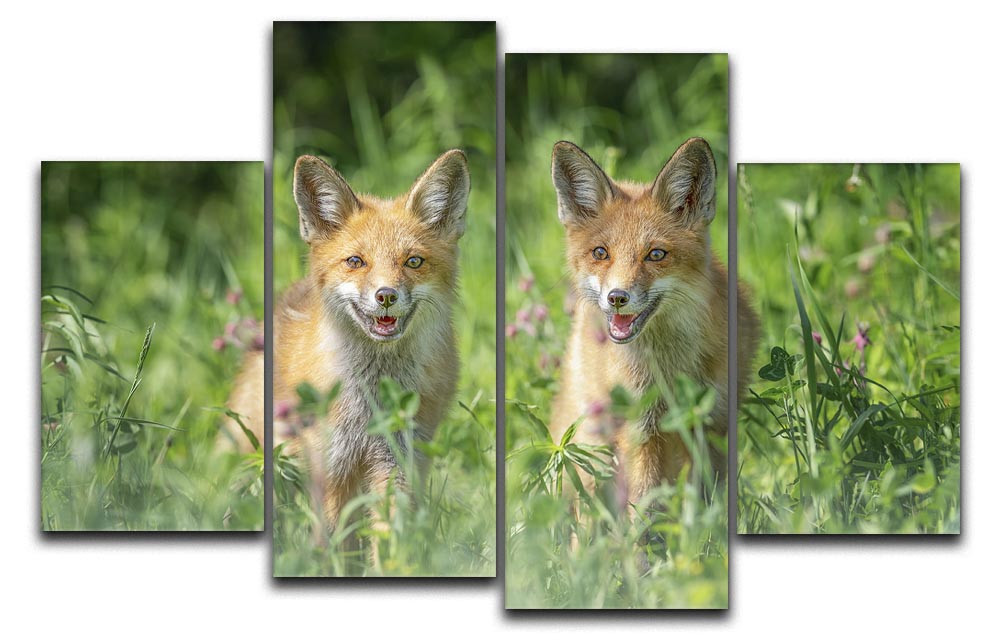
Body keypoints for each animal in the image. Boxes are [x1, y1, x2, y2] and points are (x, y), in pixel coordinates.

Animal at [225, 149, 470, 535]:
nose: (386, 296)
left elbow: (390, 535)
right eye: (356, 261)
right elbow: (333, 538)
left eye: (413, 261)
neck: (370, 401)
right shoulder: (331, 467)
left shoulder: (397, 461)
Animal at [549, 137, 760, 512]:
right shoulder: (641, 428)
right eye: (601, 253)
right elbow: (646, 504)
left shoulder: (714, 422)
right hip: (594, 445)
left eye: (656, 254)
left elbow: (710, 496)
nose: (617, 297)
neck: (671, 368)